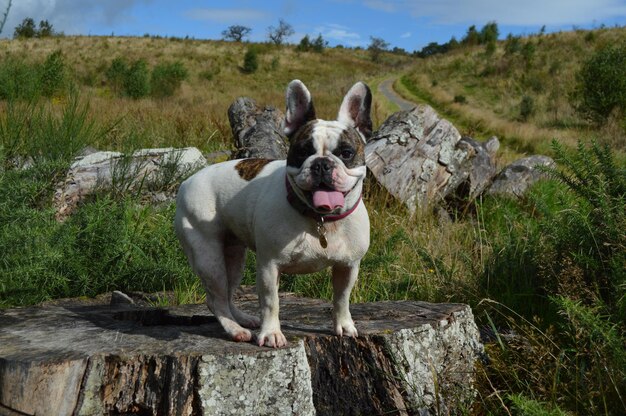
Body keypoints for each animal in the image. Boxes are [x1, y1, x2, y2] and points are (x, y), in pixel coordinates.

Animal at [173, 79, 370, 346]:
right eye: (302, 151)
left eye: (346, 153)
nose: (321, 164)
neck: (320, 219)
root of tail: (187, 181)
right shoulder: (269, 265)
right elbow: (270, 302)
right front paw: (271, 334)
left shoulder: (348, 266)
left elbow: (342, 298)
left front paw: (344, 326)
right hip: (207, 255)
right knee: (216, 298)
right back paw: (235, 329)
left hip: (233, 255)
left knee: (228, 292)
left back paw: (243, 319)